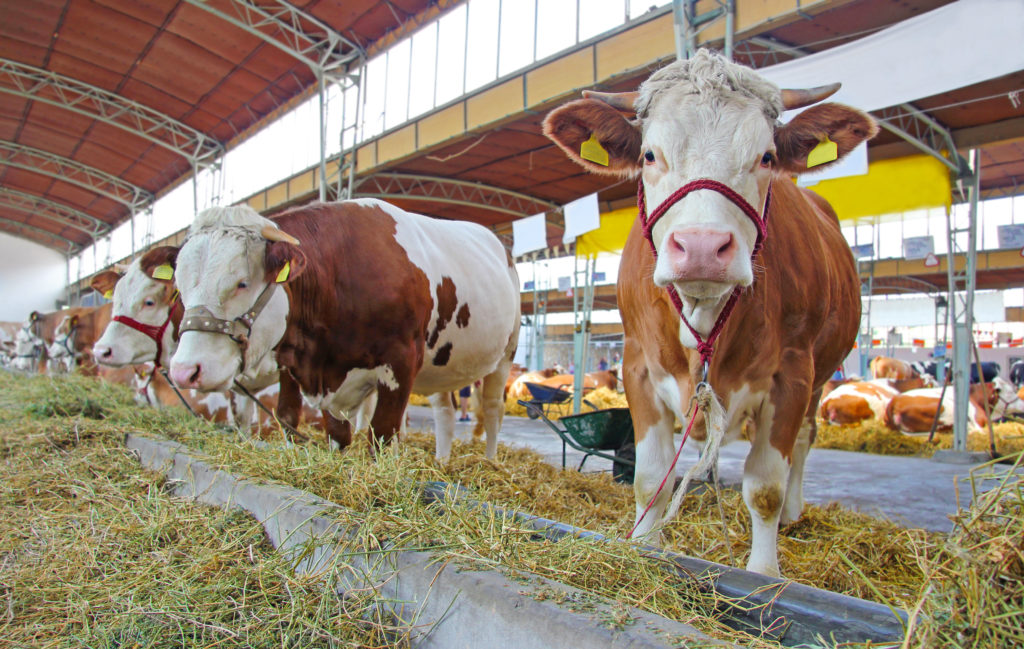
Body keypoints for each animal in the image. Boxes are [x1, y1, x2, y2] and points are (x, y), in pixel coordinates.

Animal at [169, 199, 520, 456]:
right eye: (180, 287)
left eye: (242, 283)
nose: (184, 371)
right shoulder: (301, 366)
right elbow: (320, 429)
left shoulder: (401, 362)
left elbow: (381, 436)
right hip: (442, 364)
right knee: (445, 412)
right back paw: (442, 462)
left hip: (505, 356)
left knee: (493, 410)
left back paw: (489, 461)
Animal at [540, 51, 876, 577]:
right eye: (649, 155)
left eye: (767, 157)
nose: (701, 247)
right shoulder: (637, 365)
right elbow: (649, 476)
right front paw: (644, 548)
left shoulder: (793, 373)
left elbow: (765, 486)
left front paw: (764, 574)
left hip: (823, 375)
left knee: (804, 440)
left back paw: (794, 513)